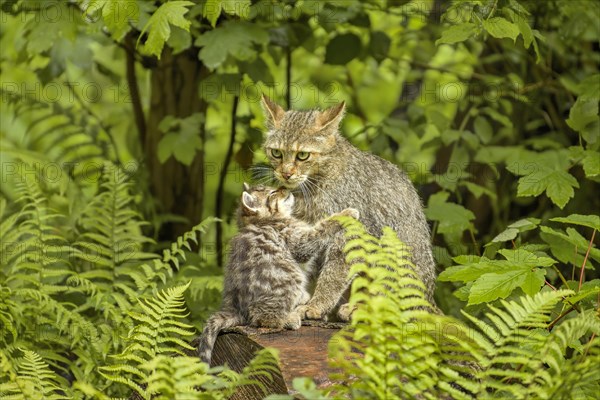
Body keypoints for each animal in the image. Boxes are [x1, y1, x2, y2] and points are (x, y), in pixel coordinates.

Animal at [198, 183, 356, 364]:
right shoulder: (298, 241)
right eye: (273, 192)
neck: (266, 221)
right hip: (288, 278)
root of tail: (234, 307)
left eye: (272, 188)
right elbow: (320, 228)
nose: (284, 188)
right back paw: (289, 318)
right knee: (261, 318)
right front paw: (346, 214)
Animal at [262, 95, 436, 320]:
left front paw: (316, 305)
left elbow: (333, 275)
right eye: (276, 153)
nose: (286, 174)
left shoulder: (349, 234)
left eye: (302, 156)